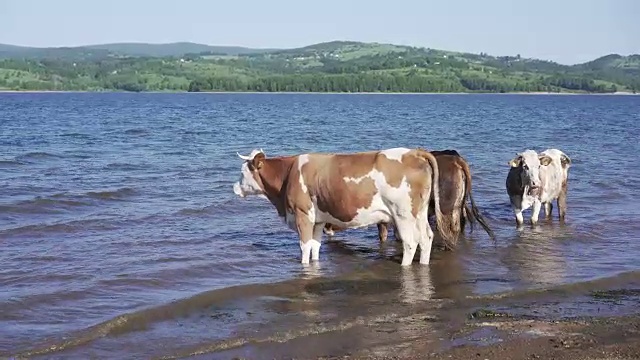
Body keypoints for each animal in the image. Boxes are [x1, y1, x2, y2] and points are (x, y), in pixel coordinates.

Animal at [232, 147, 458, 268]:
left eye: (242, 173)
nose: (234, 187)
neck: (289, 174)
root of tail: (414, 152)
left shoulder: (302, 214)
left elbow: (304, 246)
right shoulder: (318, 220)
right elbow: (315, 246)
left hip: (403, 214)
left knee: (411, 242)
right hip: (419, 213)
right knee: (427, 238)